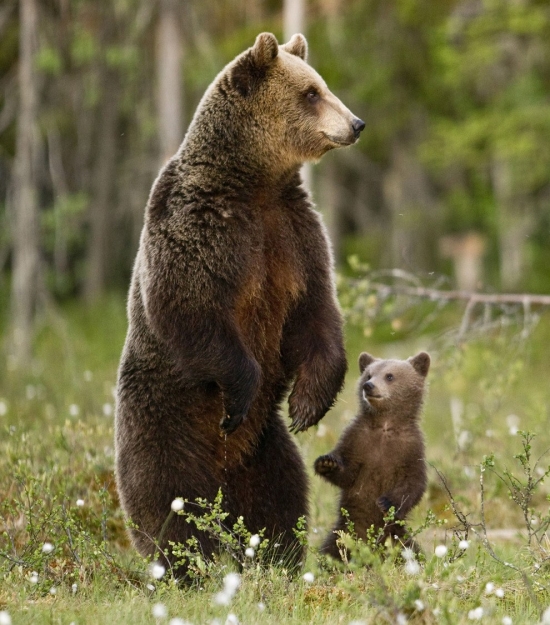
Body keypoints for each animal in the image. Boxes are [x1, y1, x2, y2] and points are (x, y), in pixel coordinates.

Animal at [115, 34, 366, 572]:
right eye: (311, 93)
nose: (356, 123)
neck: (254, 183)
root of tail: (223, 477)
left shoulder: (293, 235)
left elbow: (316, 311)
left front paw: (308, 404)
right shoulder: (200, 228)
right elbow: (187, 308)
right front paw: (242, 390)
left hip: (265, 448)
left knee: (281, 495)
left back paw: (278, 557)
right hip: (161, 423)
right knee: (168, 501)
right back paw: (192, 565)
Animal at [314, 348, 432, 560]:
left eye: (390, 376)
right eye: (368, 374)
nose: (368, 386)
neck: (385, 425)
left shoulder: (411, 448)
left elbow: (414, 482)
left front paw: (387, 502)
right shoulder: (357, 440)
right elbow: (347, 472)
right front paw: (327, 463)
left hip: (397, 538)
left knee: (413, 551)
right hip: (344, 533)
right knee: (331, 550)